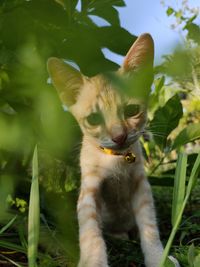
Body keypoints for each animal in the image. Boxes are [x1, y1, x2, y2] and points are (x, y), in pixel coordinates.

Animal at [47, 34, 180, 267]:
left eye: (132, 110)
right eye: (94, 119)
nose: (119, 137)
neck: (116, 160)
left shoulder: (141, 187)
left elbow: (149, 227)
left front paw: (158, 257)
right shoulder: (89, 191)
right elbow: (90, 232)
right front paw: (93, 261)